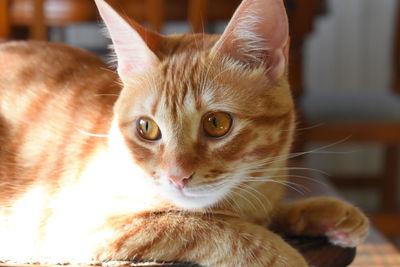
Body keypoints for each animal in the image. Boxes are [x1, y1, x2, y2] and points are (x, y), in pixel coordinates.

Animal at [0, 0, 368, 266]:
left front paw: (323, 212)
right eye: (147, 128)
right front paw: (279, 253)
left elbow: (264, 213)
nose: (177, 177)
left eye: (217, 123)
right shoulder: (77, 227)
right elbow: (203, 227)